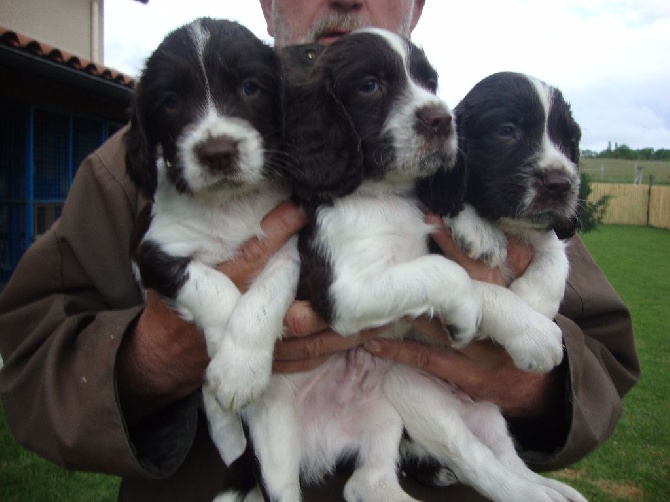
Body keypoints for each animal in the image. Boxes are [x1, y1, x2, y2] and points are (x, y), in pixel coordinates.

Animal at [124, 15, 300, 462]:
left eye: (250, 87)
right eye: (170, 100)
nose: (217, 152)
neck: (228, 204)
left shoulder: (289, 245)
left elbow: (263, 298)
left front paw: (240, 369)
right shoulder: (154, 253)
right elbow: (214, 287)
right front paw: (229, 363)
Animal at [231, 29, 584, 502]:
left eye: (429, 82)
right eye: (370, 85)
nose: (441, 120)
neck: (382, 196)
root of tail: (321, 446)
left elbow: (550, 244)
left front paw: (536, 298)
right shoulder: (344, 288)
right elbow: (461, 279)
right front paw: (531, 331)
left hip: (418, 412)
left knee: (384, 478)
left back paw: (552, 490)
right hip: (336, 412)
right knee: (472, 457)